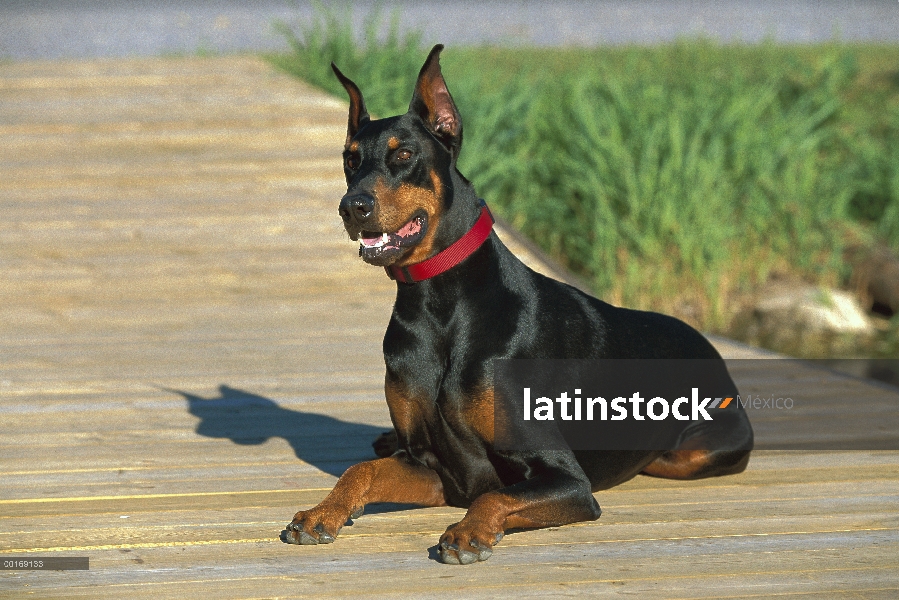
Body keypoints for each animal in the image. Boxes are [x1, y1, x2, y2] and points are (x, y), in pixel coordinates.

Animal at [284, 45, 756, 564]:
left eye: (404, 154)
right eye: (350, 160)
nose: (352, 206)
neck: (437, 304)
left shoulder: (565, 479)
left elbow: (495, 495)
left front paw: (468, 534)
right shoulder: (434, 469)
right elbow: (360, 470)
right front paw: (320, 514)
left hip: (698, 450)